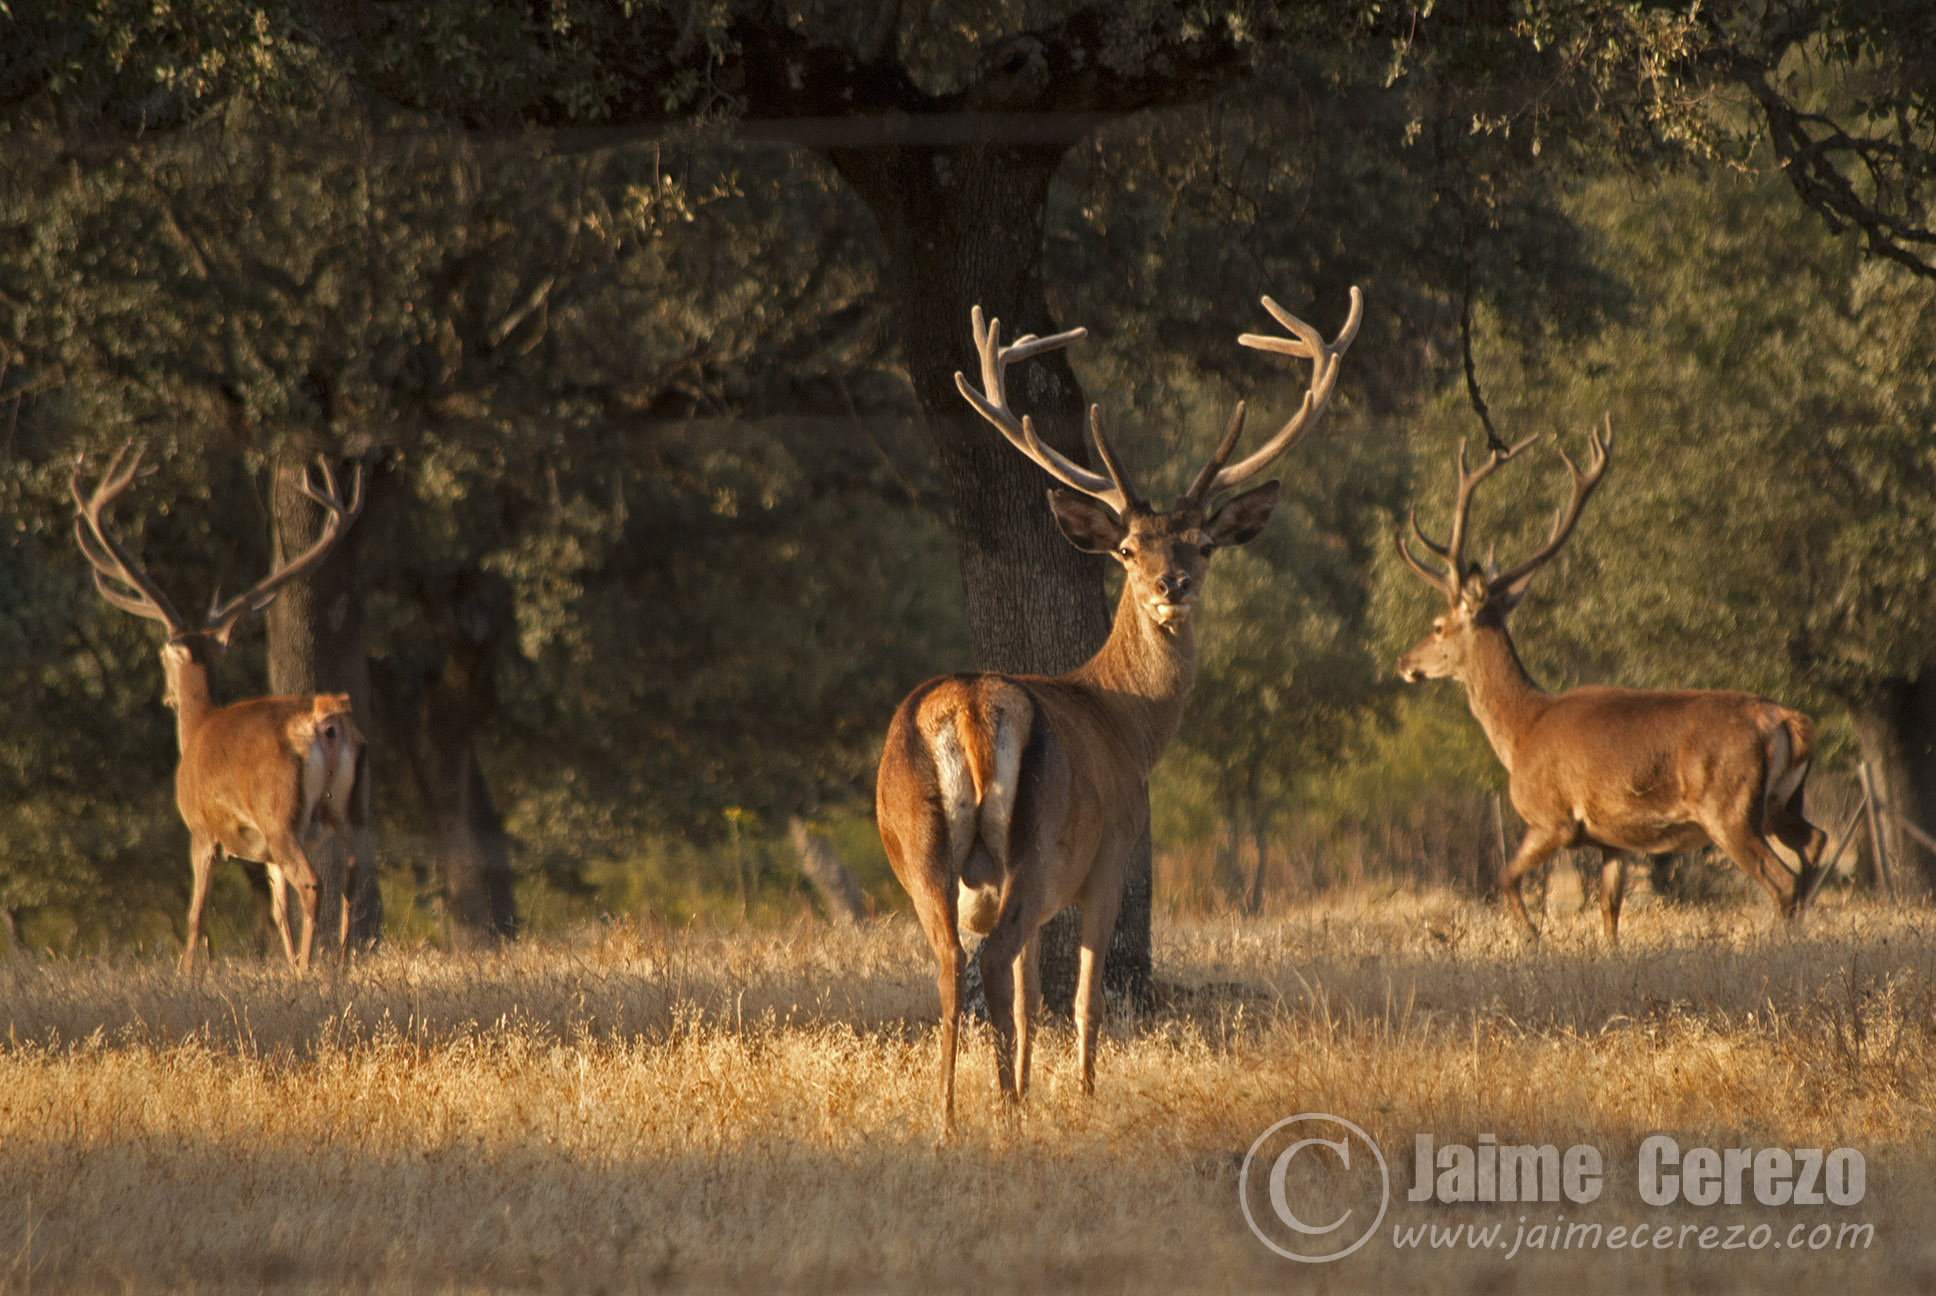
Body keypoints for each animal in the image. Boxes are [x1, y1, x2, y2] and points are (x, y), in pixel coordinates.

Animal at [73, 443, 369, 973]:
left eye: (162, 654)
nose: (166, 693)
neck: (197, 729)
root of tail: (325, 721)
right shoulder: (262, 853)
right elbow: (278, 911)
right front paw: (283, 959)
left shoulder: (201, 829)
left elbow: (196, 916)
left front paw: (188, 972)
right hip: (350, 809)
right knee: (352, 880)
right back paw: (335, 964)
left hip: (280, 813)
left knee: (313, 883)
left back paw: (308, 970)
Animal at [877, 288, 1362, 1129]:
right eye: (1128, 550)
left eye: (1204, 543)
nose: (1173, 585)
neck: (1124, 724)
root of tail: (968, 706)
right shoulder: (1111, 854)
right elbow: (1083, 998)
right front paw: (1081, 1093)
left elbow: (1031, 995)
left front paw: (1031, 1084)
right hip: (1039, 843)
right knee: (992, 959)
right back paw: (999, 1108)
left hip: (916, 845)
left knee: (950, 966)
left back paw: (949, 1112)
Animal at [1393, 420, 1827, 942]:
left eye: (1438, 625)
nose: (1403, 660)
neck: (1521, 730)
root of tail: (1789, 721)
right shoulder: (1613, 840)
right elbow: (1609, 908)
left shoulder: (1552, 817)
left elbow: (1505, 879)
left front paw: (1534, 940)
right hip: (1782, 803)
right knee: (1816, 843)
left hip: (1730, 806)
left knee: (1782, 880)